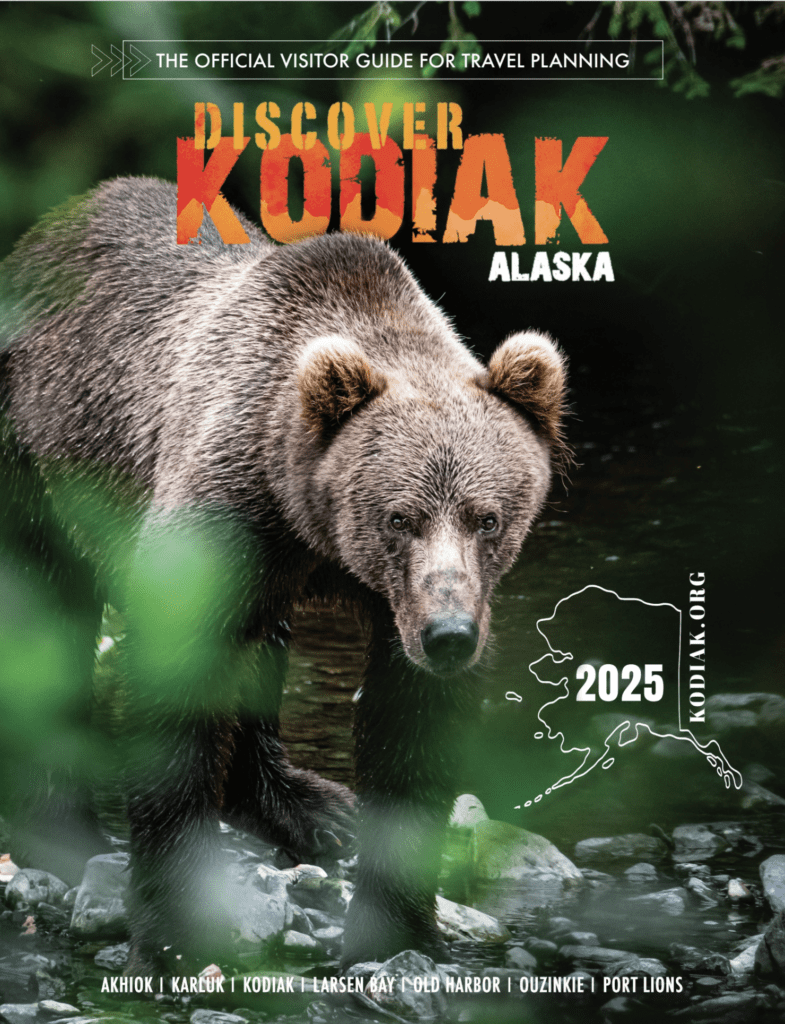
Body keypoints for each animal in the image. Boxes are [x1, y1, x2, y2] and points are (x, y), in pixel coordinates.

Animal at [0, 177, 567, 973]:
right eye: (399, 517)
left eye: (487, 518)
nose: (449, 634)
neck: (306, 521)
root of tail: (42, 233)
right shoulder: (222, 513)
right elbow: (175, 685)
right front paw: (171, 929)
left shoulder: (387, 596)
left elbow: (409, 728)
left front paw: (394, 928)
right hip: (40, 461)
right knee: (48, 614)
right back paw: (59, 825)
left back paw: (312, 808)